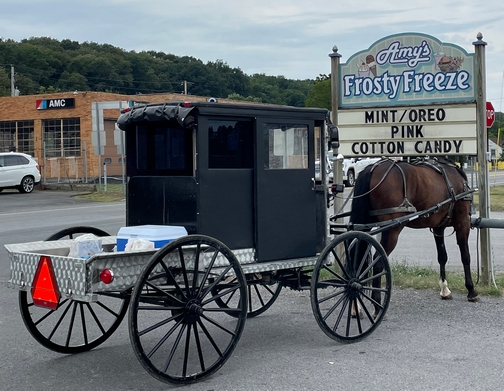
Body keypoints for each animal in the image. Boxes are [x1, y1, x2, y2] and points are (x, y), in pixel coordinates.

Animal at [348, 157, 478, 304]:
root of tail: (372, 168)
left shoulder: (438, 227)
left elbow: (442, 256)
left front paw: (444, 289)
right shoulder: (463, 222)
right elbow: (465, 256)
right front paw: (471, 290)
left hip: (365, 225)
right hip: (392, 230)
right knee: (378, 263)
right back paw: (376, 302)